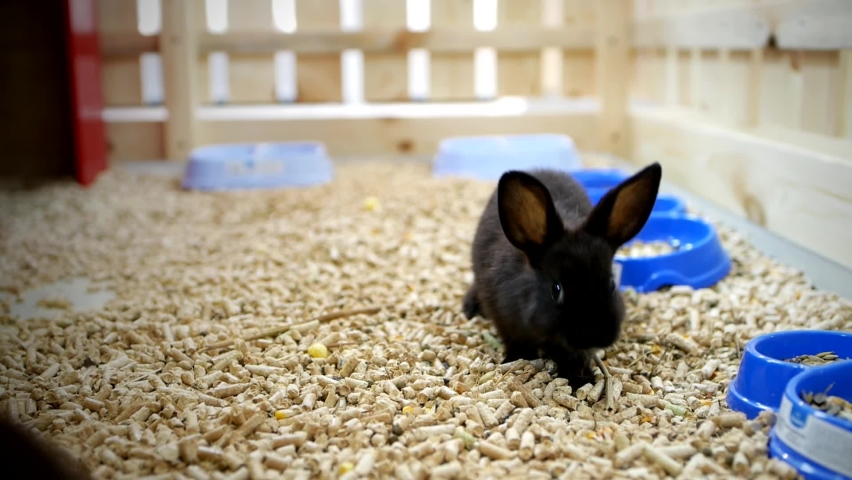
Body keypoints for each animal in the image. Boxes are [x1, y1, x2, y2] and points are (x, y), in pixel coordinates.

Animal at [463, 162, 662, 387]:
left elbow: (573, 356)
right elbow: (517, 343)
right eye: (556, 289)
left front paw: (580, 378)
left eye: (611, 284)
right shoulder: (504, 320)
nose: (596, 335)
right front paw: (516, 359)